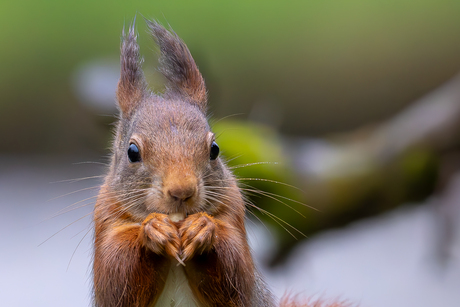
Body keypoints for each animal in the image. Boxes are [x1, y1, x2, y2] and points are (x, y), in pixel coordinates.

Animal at [91, 18, 348, 307]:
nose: (182, 191)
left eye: (214, 149)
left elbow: (236, 272)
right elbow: (116, 276)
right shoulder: (105, 216)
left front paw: (203, 229)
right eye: (132, 152)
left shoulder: (233, 208)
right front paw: (153, 229)